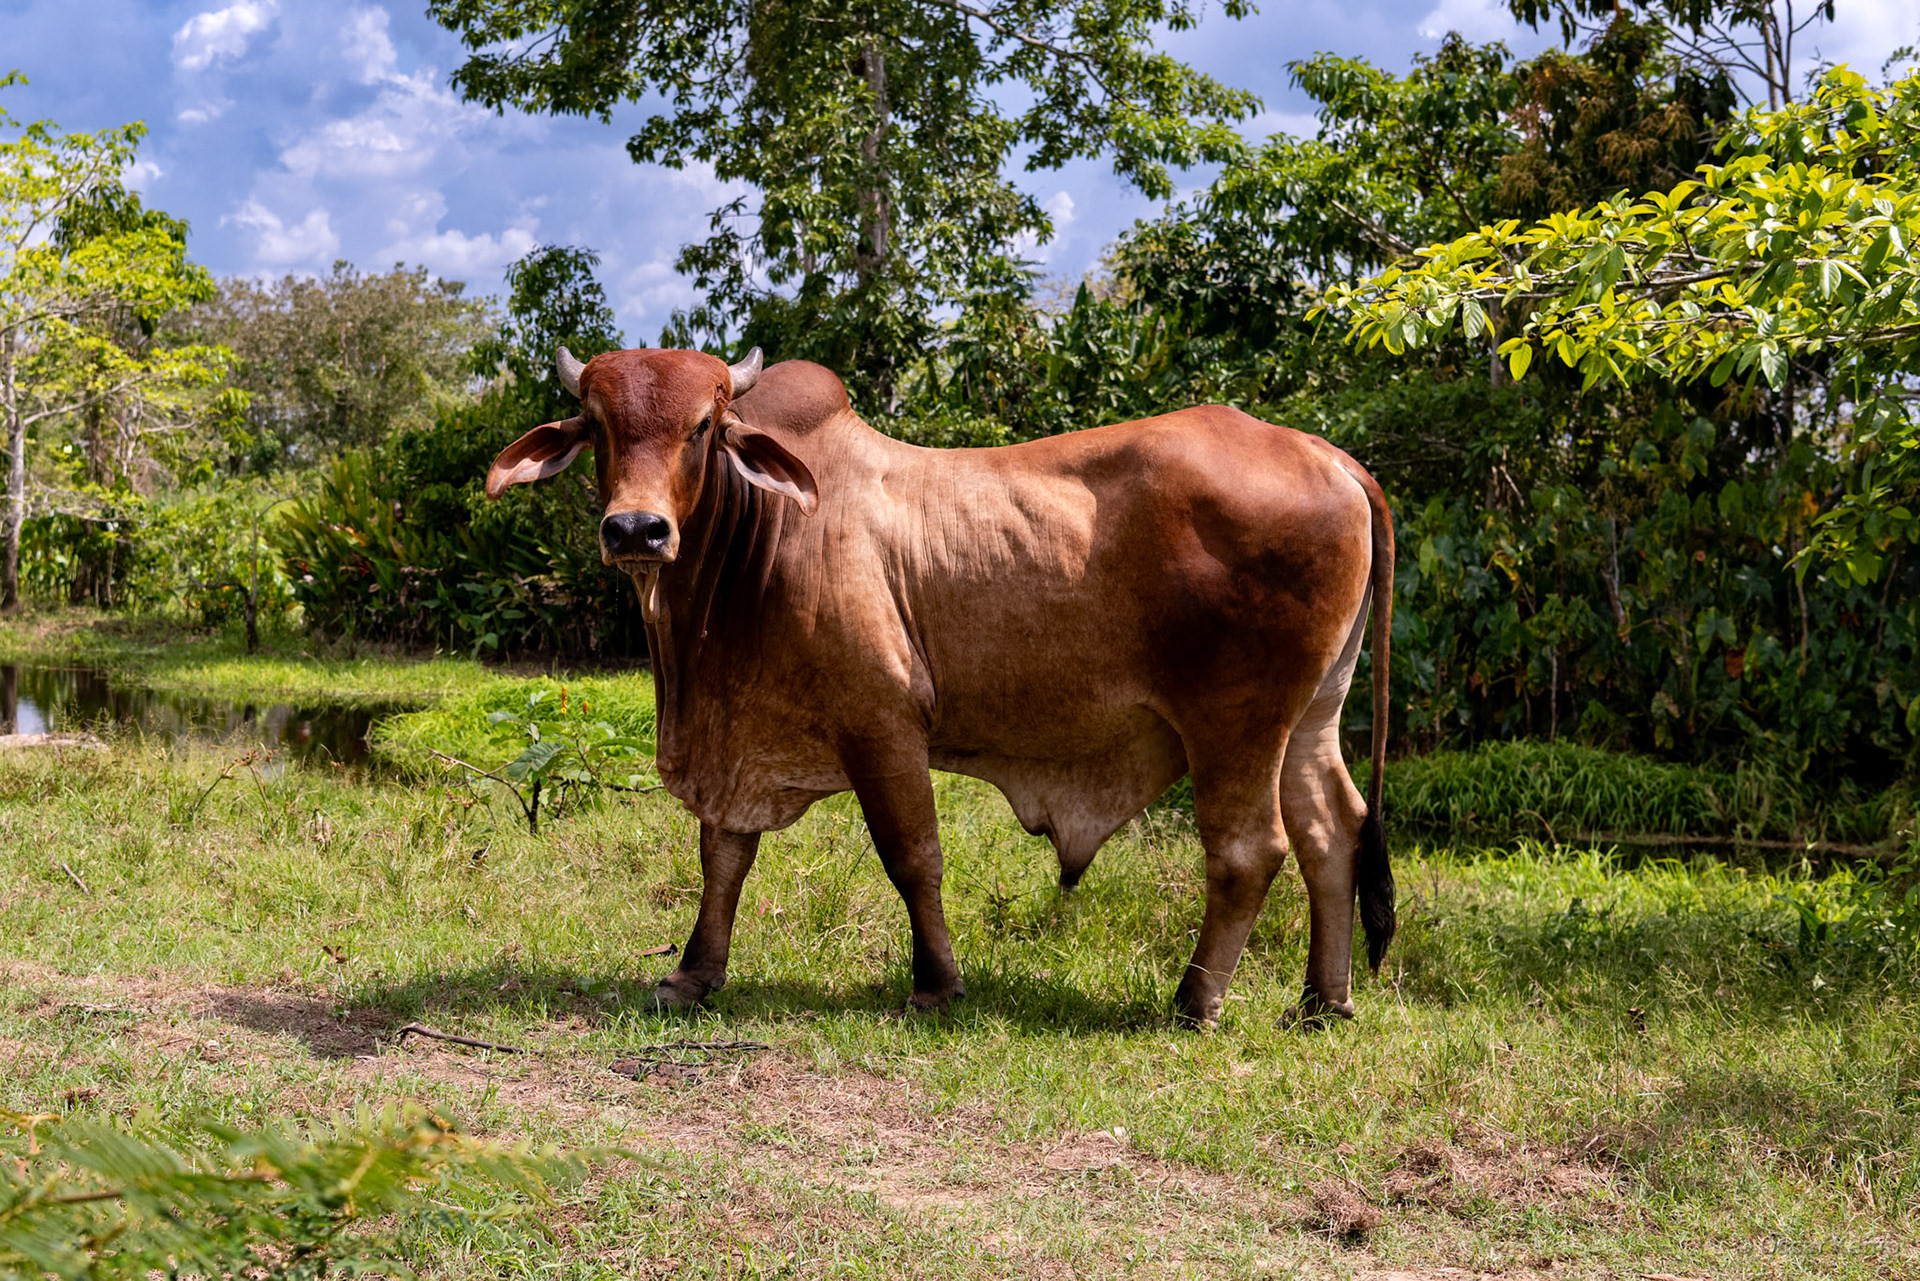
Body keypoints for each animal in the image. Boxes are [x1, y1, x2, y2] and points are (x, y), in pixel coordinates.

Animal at [485, 345, 1396, 1026]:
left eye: (702, 427)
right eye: (599, 425)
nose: (637, 529)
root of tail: (1328, 454)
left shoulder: (882, 723)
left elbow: (912, 854)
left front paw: (935, 981)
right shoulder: (739, 738)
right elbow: (724, 855)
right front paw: (693, 973)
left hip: (1236, 722)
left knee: (1251, 850)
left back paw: (1195, 1000)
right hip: (1310, 715)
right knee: (1333, 832)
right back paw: (1322, 1002)